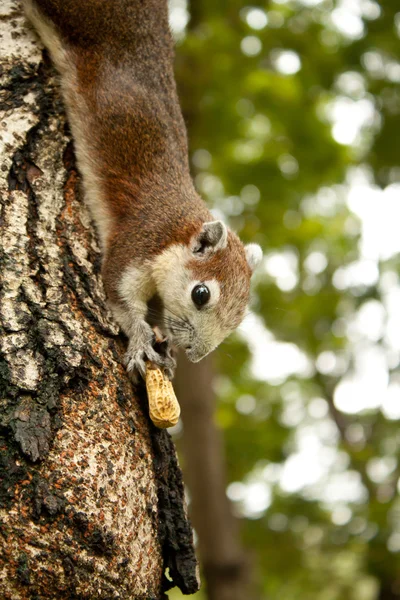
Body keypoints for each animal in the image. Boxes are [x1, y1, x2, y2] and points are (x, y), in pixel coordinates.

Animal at [24, 0, 262, 380]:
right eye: (200, 294)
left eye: (241, 314)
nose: (196, 355)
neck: (176, 226)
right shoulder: (138, 243)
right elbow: (120, 298)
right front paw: (141, 341)